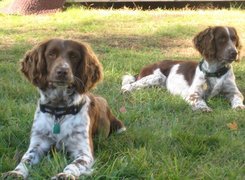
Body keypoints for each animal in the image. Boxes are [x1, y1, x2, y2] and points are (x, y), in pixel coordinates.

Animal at [4, 38, 125, 179]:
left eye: (74, 56)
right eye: (51, 54)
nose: (62, 71)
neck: (58, 111)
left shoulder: (84, 151)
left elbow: (75, 164)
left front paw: (65, 175)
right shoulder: (38, 143)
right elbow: (26, 159)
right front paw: (16, 172)